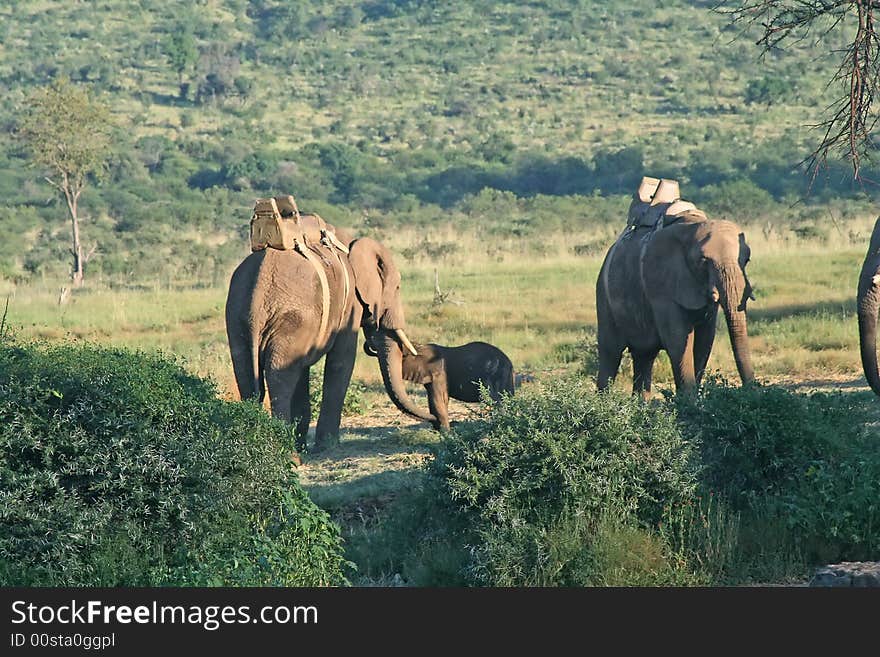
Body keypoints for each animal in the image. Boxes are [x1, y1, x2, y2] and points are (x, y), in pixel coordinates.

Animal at [225, 205, 434, 452]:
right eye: (398, 287)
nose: (436, 422)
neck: (351, 243)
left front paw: (304, 445)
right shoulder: (349, 306)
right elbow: (342, 360)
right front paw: (328, 446)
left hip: (239, 319)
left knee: (248, 375)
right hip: (291, 317)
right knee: (279, 378)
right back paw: (289, 454)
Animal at [364, 334, 516, 430]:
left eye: (402, 356)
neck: (419, 346)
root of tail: (509, 363)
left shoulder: (439, 373)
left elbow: (439, 399)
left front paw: (445, 432)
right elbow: (433, 399)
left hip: (496, 374)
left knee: (497, 401)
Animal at [600, 213, 756, 394]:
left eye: (747, 259)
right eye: (703, 261)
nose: (752, 391)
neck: (691, 226)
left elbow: (705, 340)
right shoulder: (662, 286)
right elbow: (678, 339)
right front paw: (688, 400)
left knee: (644, 356)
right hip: (604, 295)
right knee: (610, 352)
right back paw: (604, 398)